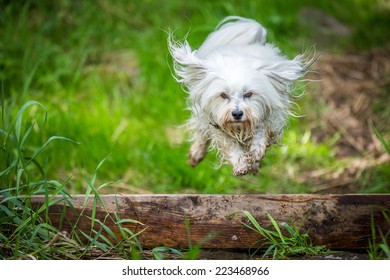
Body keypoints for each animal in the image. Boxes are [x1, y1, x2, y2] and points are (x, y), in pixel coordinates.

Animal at [169, 16, 310, 176]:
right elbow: (229, 145)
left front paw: (256, 151)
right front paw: (240, 164)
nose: (237, 114)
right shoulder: (216, 123)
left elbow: (261, 131)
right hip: (202, 116)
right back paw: (197, 152)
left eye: (248, 94)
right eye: (223, 95)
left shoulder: (270, 116)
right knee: (200, 132)